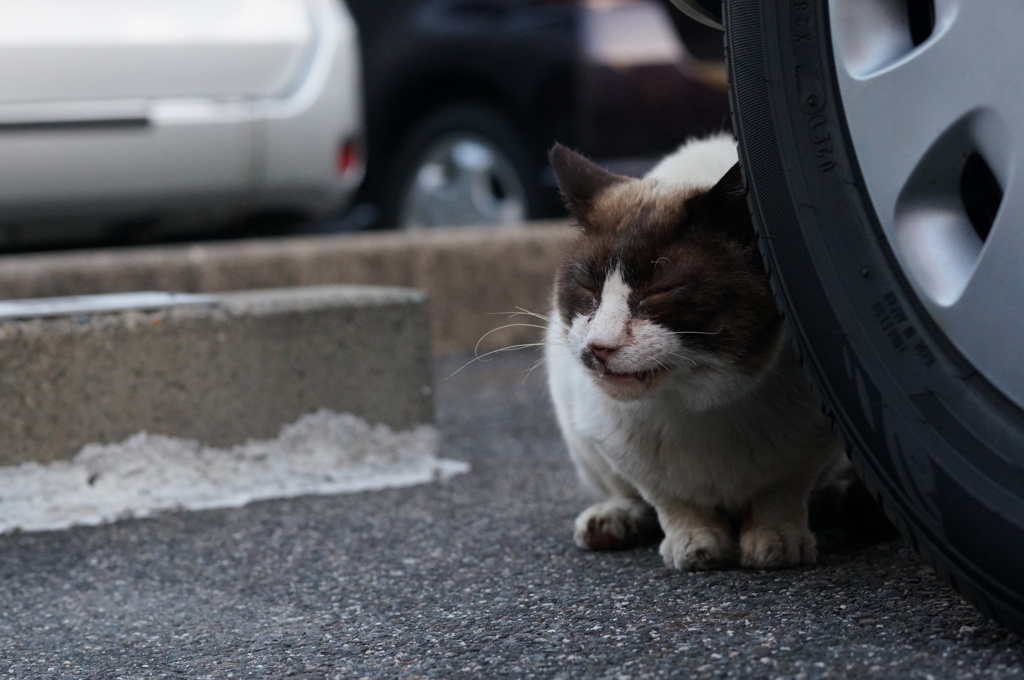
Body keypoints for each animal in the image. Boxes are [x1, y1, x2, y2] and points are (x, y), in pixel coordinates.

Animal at [548, 133, 843, 569]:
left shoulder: (812, 438)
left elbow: (781, 491)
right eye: (587, 289)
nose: (599, 346)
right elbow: (670, 499)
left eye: (659, 292)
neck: (699, 405)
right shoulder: (623, 450)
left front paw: (776, 541)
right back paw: (612, 521)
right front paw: (696, 544)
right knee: (624, 495)